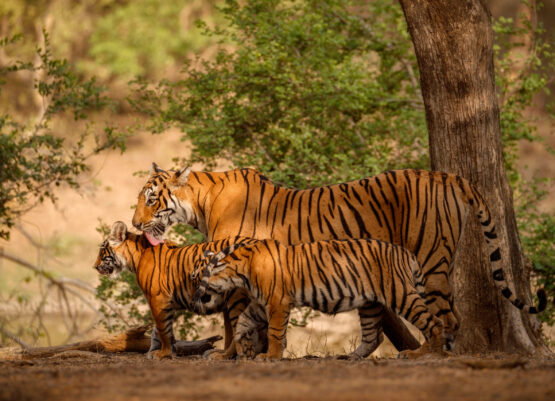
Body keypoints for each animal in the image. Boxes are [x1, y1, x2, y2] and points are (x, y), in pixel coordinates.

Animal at [93, 220, 268, 360]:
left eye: (102, 251)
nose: (94, 267)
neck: (135, 257)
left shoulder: (157, 298)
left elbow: (163, 329)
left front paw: (163, 353)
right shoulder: (166, 301)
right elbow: (160, 330)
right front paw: (161, 351)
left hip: (235, 298)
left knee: (239, 331)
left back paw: (223, 355)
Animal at [130, 164, 540, 354]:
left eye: (151, 198)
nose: (133, 224)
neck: (200, 204)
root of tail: (445, 175)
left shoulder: (234, 275)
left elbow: (235, 322)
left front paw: (236, 354)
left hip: (429, 260)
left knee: (446, 317)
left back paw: (428, 353)